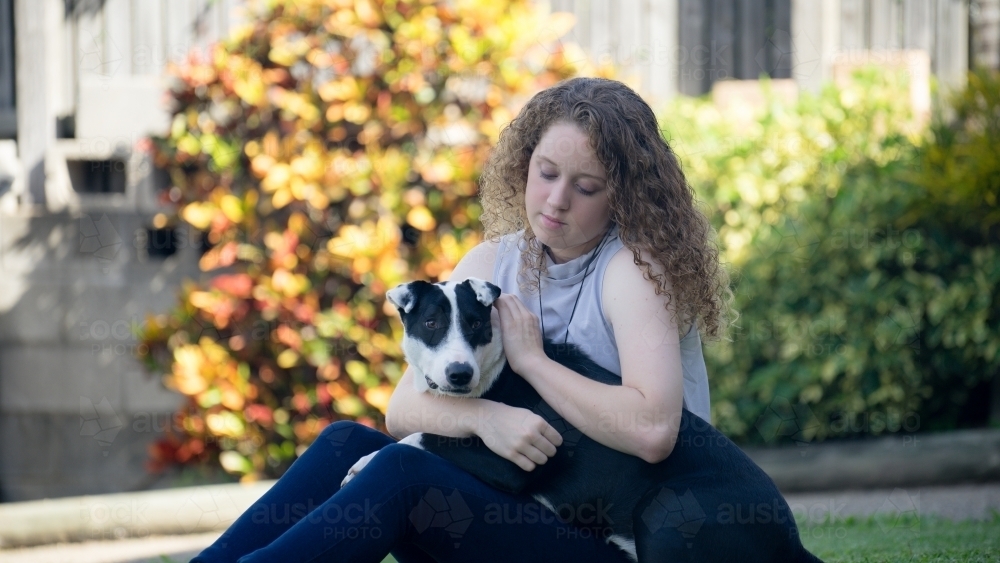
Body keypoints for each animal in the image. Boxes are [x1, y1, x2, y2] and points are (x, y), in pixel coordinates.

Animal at [344, 278, 820, 563]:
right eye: (431, 323)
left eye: (477, 324)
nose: (459, 374)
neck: (495, 372)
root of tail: (793, 545)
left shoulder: (515, 460)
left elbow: (420, 439)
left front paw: (363, 462)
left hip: (666, 510)